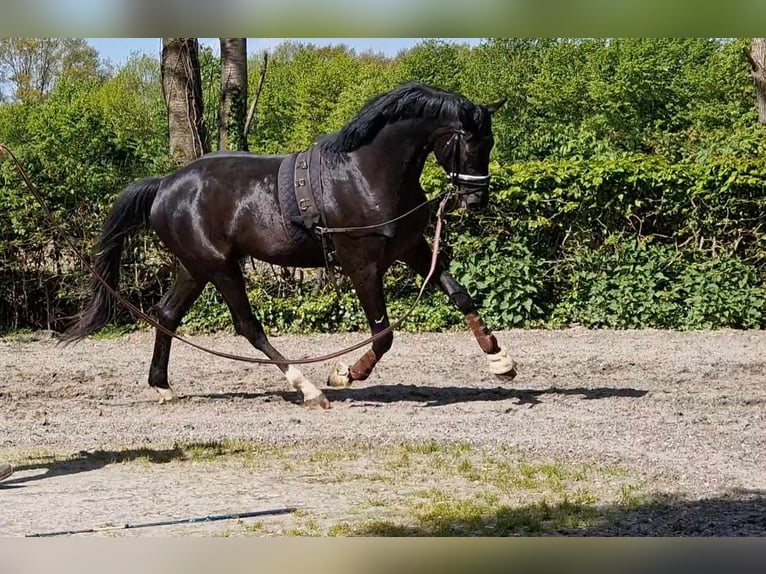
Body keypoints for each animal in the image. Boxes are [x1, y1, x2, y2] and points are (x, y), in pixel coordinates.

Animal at [66, 83, 520, 412]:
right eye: (469, 142)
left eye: (491, 142)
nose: (476, 199)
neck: (365, 174)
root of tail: (164, 185)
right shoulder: (362, 264)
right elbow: (382, 334)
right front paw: (346, 373)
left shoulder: (413, 248)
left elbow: (459, 293)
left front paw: (499, 358)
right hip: (220, 268)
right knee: (248, 326)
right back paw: (308, 388)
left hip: (195, 267)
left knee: (166, 315)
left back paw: (161, 385)